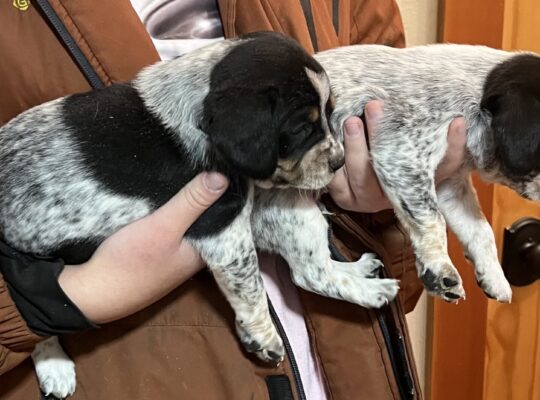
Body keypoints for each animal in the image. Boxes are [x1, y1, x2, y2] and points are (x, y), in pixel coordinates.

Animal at [0, 32, 398, 398]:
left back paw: (362, 272)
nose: (340, 162)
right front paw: (264, 336)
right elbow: (252, 289)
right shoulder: (222, 227)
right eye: (301, 128)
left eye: (330, 113)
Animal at [316, 43, 540, 304]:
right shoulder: (402, 154)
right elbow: (432, 219)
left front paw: (494, 276)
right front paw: (439, 267)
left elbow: (480, 229)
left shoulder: (450, 184)